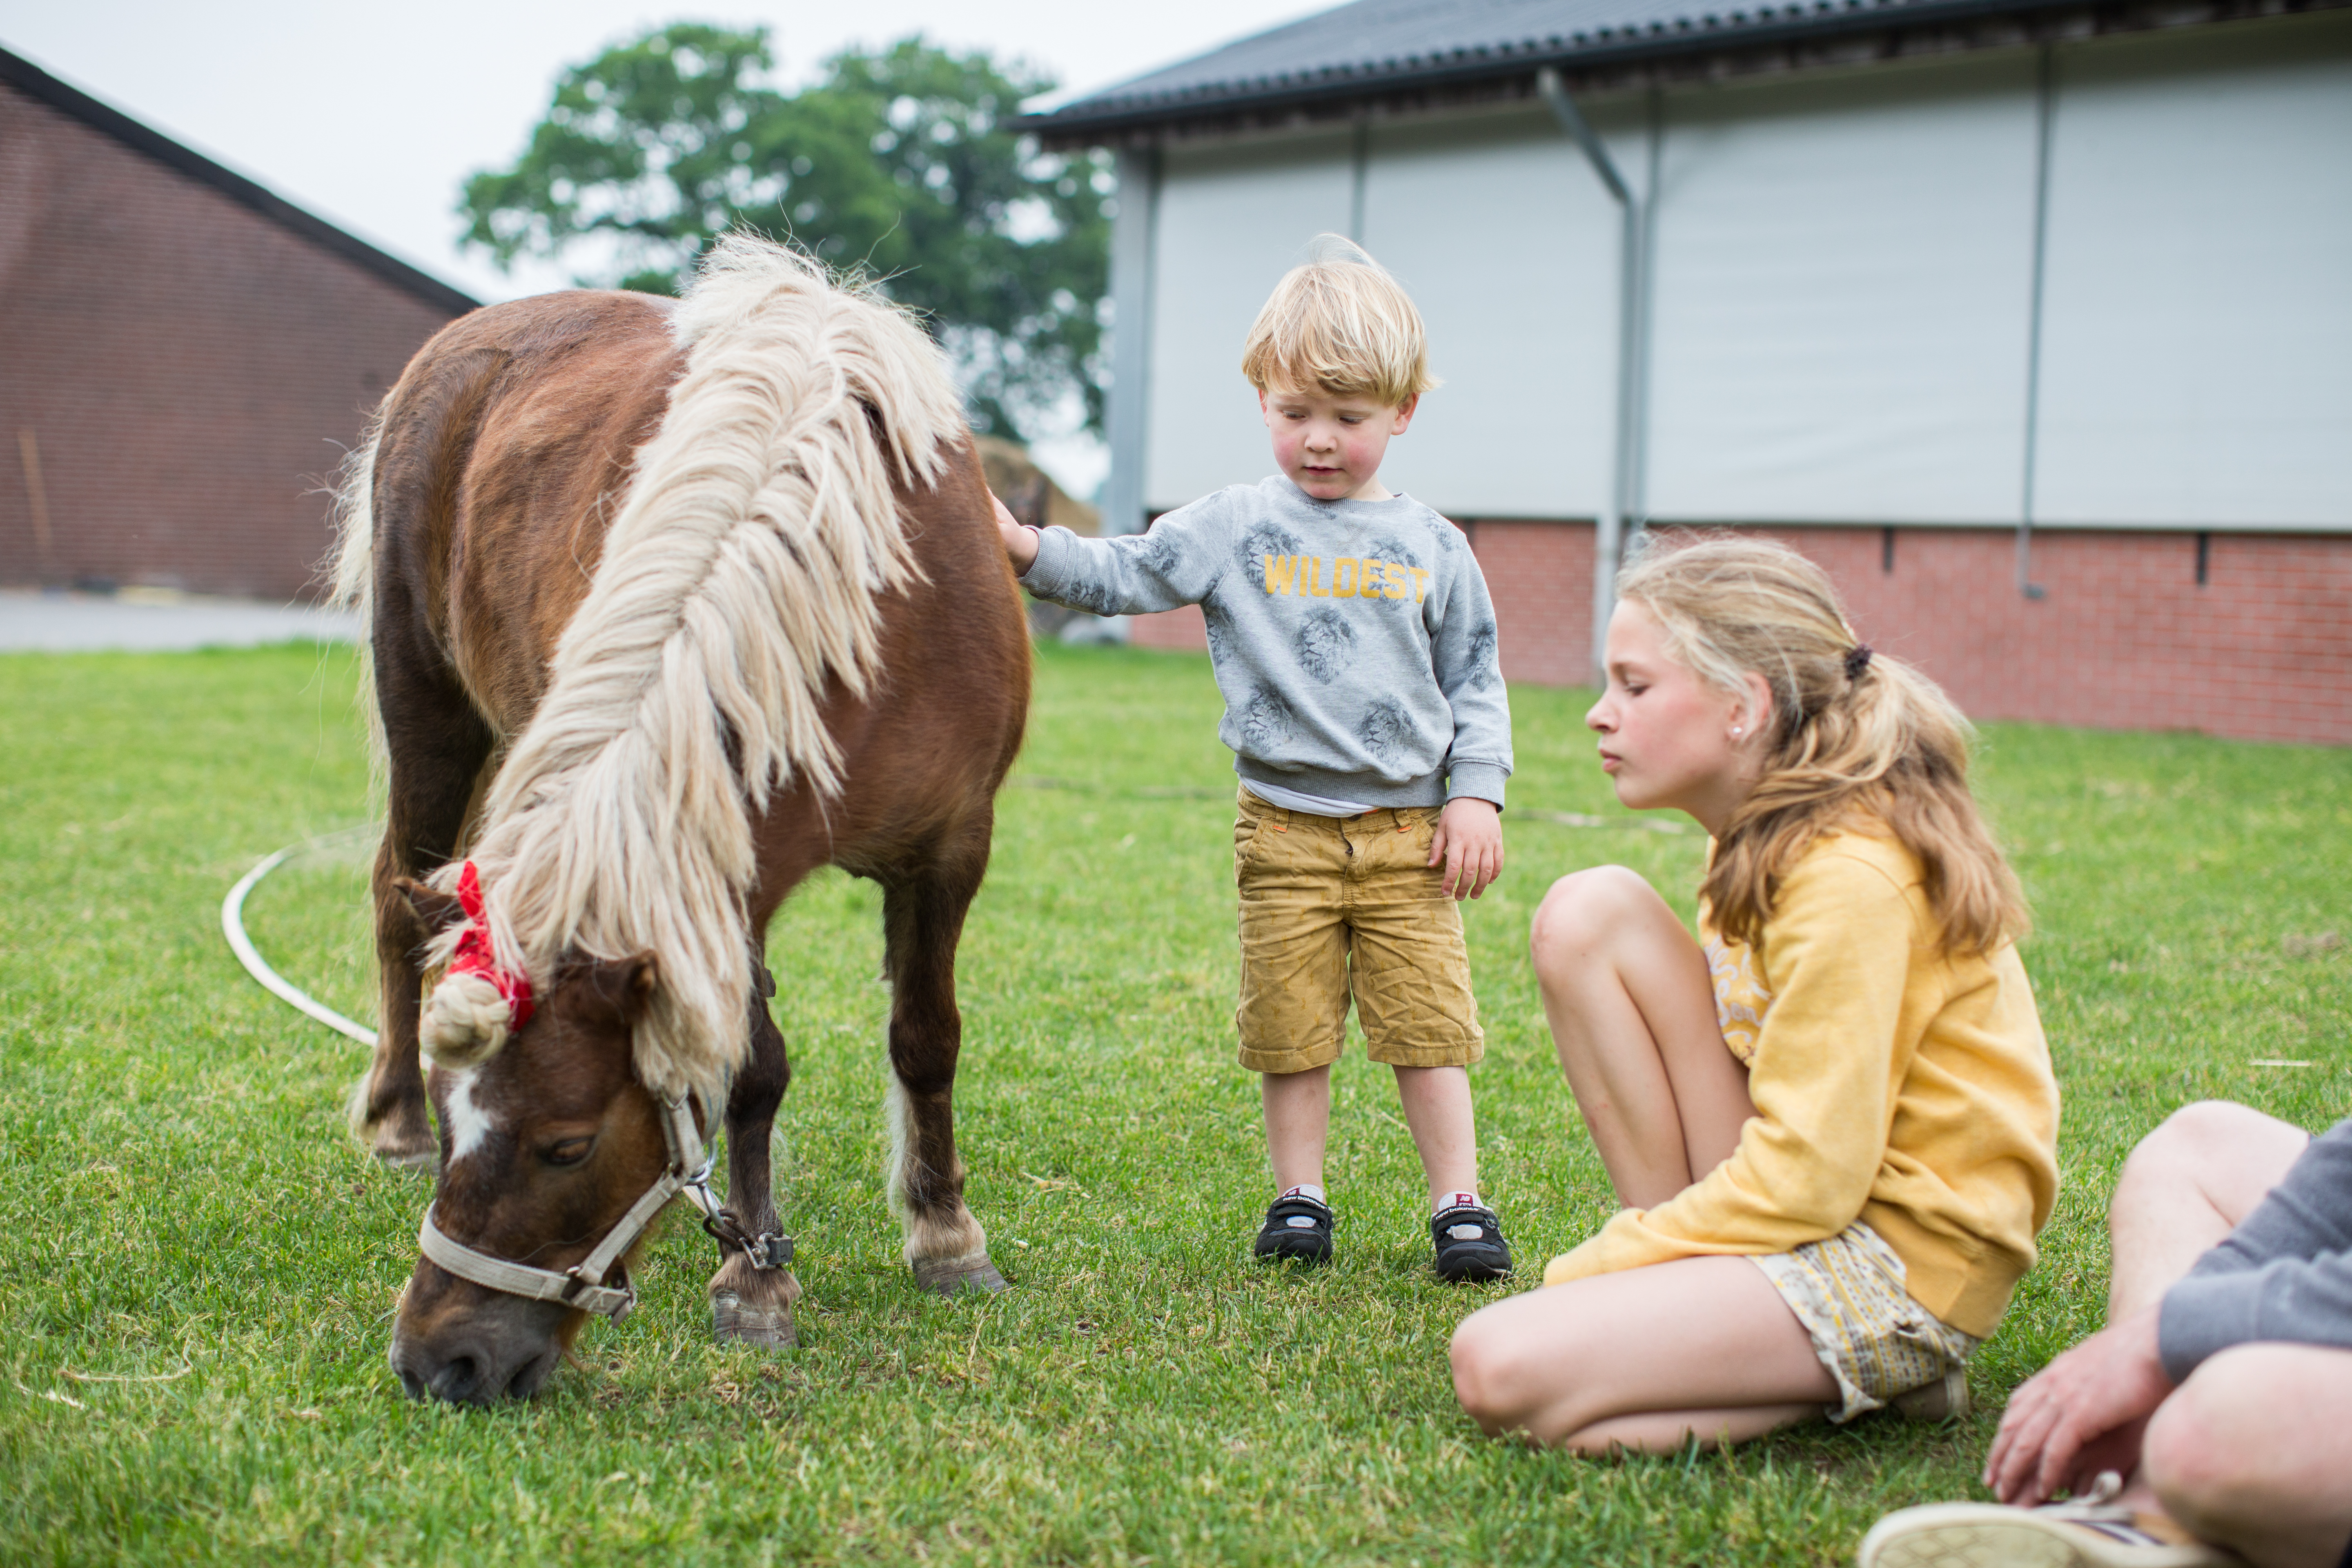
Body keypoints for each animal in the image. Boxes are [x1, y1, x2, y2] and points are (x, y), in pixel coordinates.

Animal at [332, 240, 1030, 1401]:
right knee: (396, 899)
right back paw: (389, 1123)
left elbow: (926, 1039)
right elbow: (753, 1068)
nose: (439, 1360)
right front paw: (756, 1276)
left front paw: (944, 1236)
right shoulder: (719, 870)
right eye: (454, 1102)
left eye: (567, 1145)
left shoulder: (951, 847)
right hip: (427, 709)